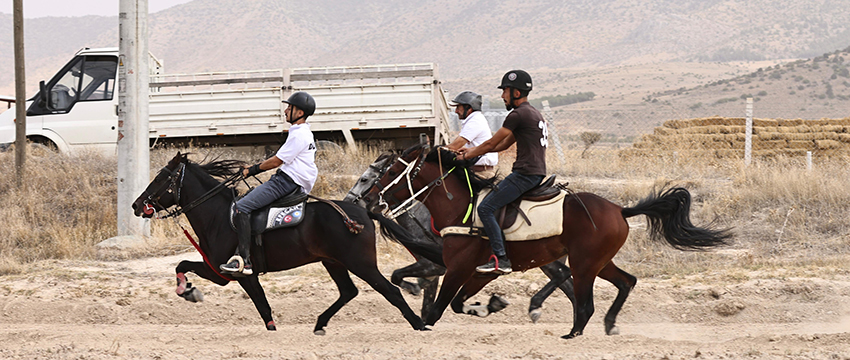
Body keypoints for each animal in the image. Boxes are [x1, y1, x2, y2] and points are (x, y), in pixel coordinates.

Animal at [131, 153, 444, 334]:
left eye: (160, 177)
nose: (136, 205)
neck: (220, 215)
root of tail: (362, 212)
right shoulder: (222, 273)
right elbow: (183, 264)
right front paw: (189, 291)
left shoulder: (231, 272)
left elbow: (261, 305)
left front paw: (189, 292)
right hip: (334, 262)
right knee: (348, 291)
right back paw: (320, 324)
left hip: (361, 263)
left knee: (389, 290)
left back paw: (419, 324)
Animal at [360, 145, 728, 338]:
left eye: (386, 174)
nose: (370, 201)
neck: (461, 209)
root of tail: (620, 209)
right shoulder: (478, 272)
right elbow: (457, 304)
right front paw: (491, 305)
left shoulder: (459, 268)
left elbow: (438, 309)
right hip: (599, 261)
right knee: (626, 282)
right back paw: (608, 325)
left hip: (584, 263)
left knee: (584, 300)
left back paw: (573, 332)